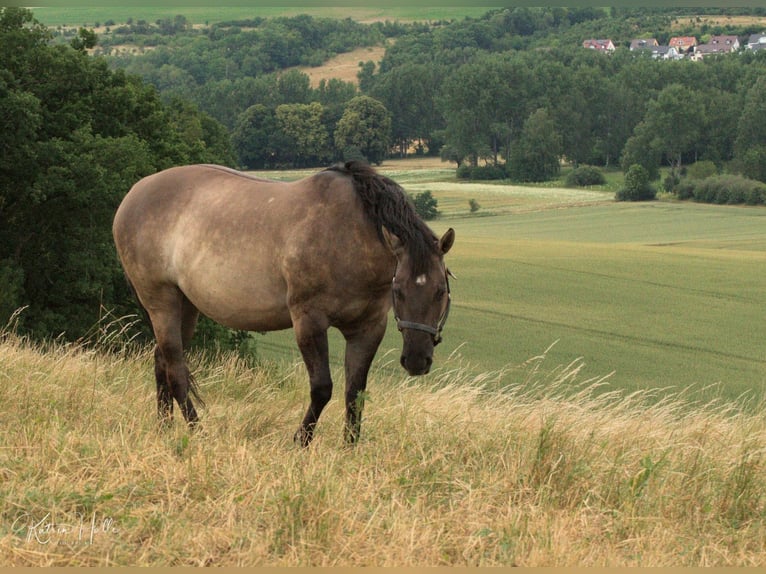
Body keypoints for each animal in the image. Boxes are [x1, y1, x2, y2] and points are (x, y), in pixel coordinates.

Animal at [112, 161, 455, 446]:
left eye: (441, 291)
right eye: (399, 290)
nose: (416, 360)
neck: (346, 234)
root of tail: (132, 195)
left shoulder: (367, 328)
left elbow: (355, 392)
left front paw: (350, 448)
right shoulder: (309, 320)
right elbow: (322, 388)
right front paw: (300, 442)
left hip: (186, 306)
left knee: (162, 362)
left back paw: (165, 430)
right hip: (162, 302)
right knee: (176, 371)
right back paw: (199, 433)